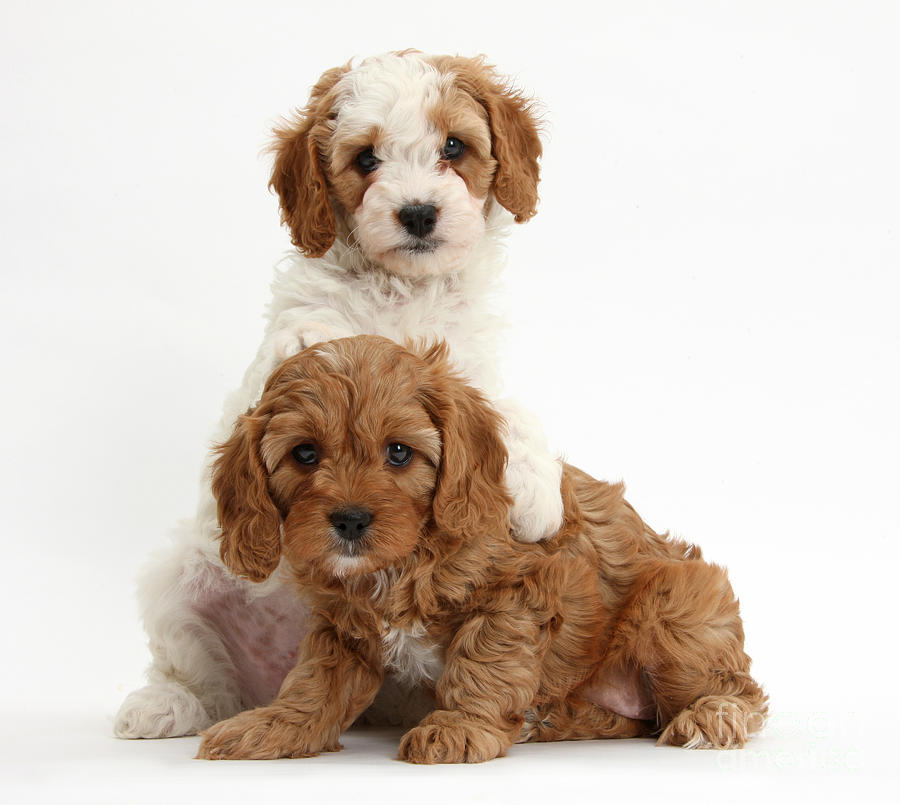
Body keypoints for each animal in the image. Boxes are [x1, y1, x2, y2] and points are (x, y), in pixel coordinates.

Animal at [197, 336, 768, 764]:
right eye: (304, 454)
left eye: (398, 453)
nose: (350, 520)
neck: (405, 559)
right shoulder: (343, 629)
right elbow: (314, 682)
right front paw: (273, 727)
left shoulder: (519, 592)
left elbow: (483, 662)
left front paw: (461, 727)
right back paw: (551, 720)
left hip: (675, 604)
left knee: (738, 690)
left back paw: (711, 714)